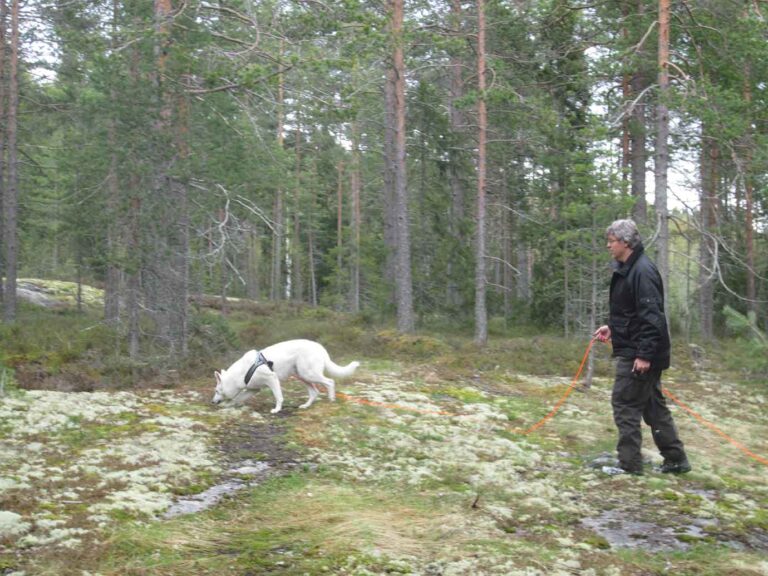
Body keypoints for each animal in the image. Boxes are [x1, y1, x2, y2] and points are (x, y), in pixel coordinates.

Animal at [213, 338, 360, 414]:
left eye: (216, 390)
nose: (212, 402)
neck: (242, 372)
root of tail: (320, 348)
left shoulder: (272, 379)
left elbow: (279, 397)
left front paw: (277, 409)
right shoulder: (253, 389)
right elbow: (236, 399)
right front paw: (226, 405)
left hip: (309, 374)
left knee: (330, 382)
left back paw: (331, 399)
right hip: (302, 376)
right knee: (315, 392)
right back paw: (306, 406)